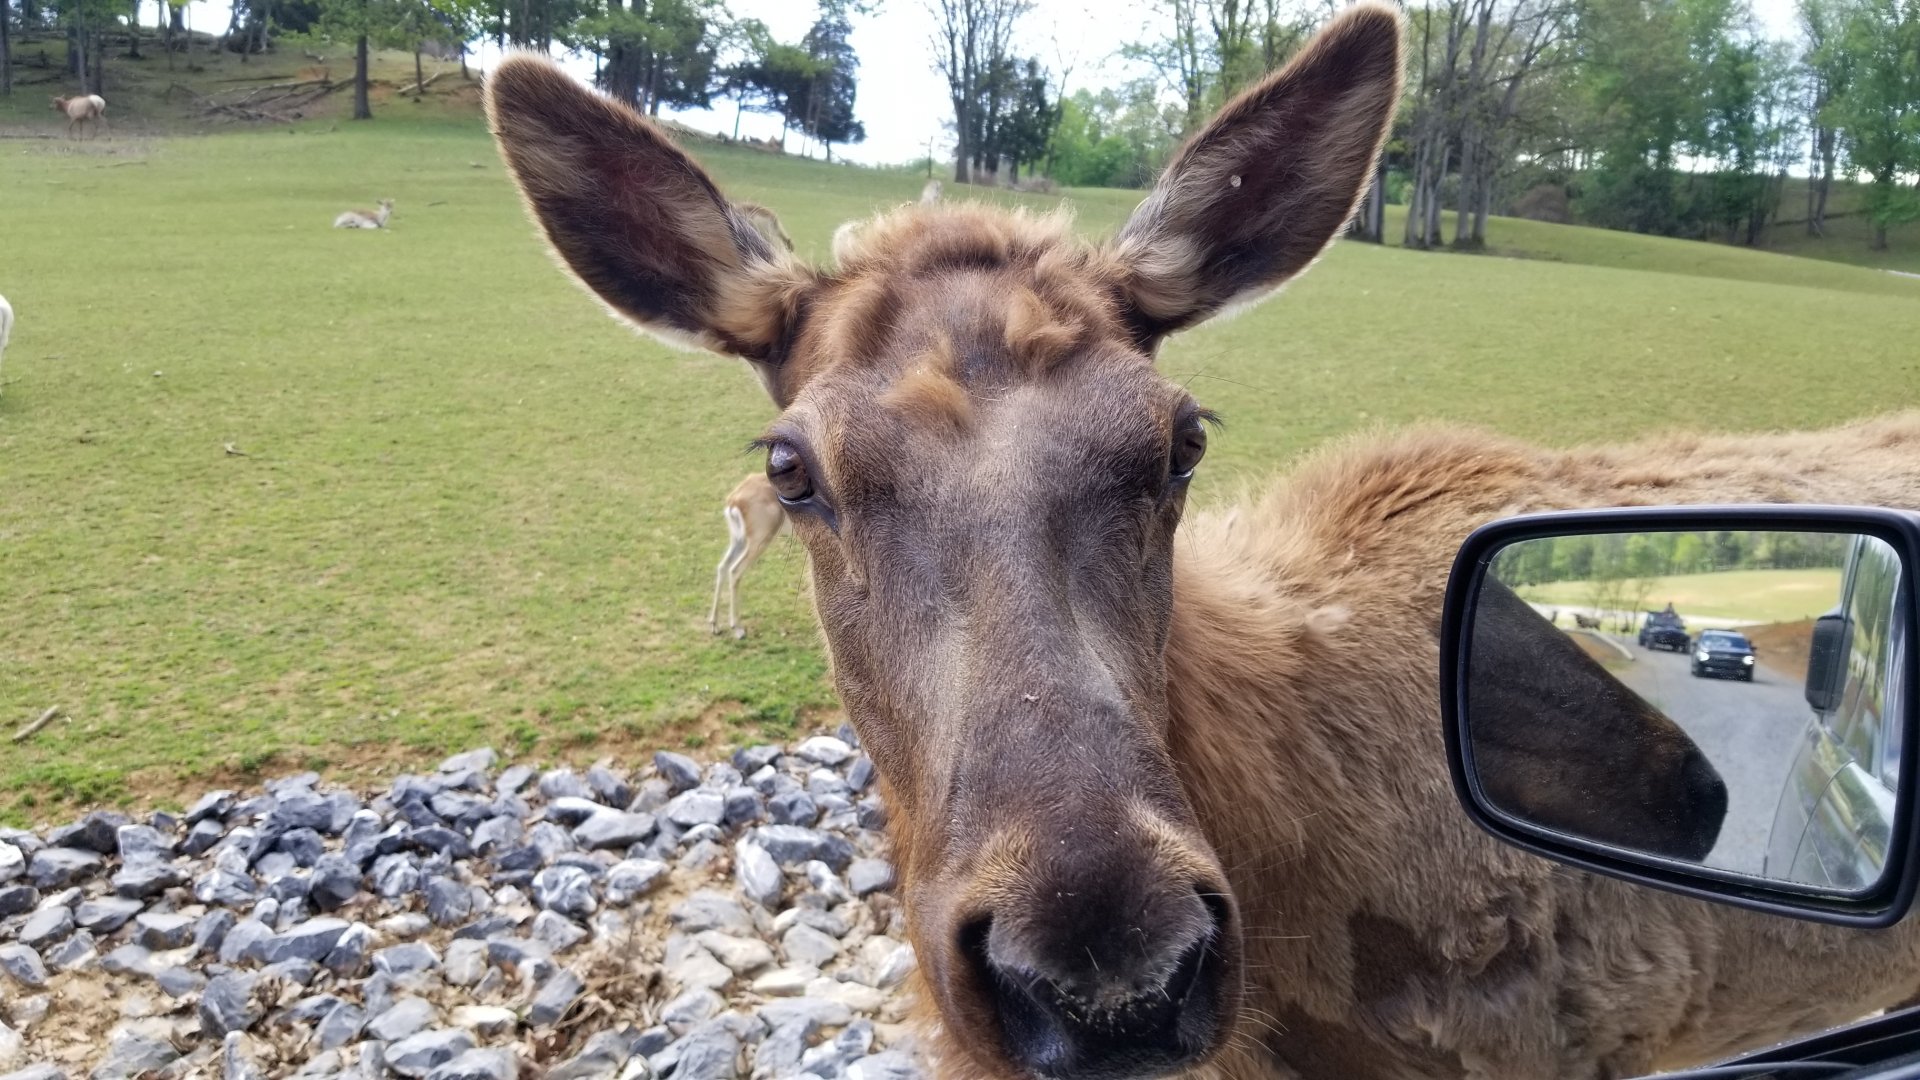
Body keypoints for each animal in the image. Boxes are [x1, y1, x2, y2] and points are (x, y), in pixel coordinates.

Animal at [708, 472, 791, 639]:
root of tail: (734, 498)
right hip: (758, 542)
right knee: (735, 571)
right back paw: (738, 629)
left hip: (738, 541)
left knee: (722, 567)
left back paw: (715, 625)